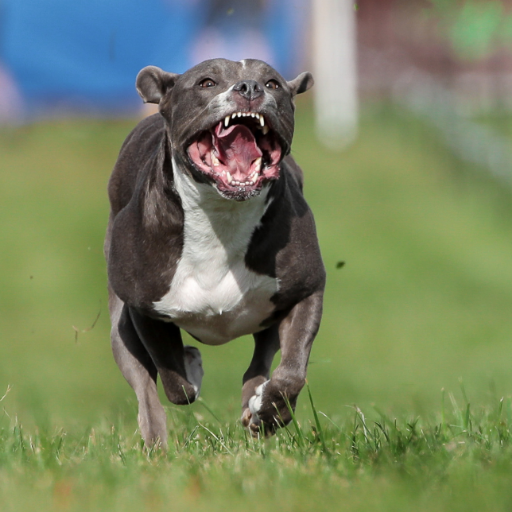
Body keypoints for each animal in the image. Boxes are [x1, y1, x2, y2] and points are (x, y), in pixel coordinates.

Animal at [105, 58, 326, 446]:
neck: (223, 213)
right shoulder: (144, 308)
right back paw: (157, 442)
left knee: (262, 358)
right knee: (146, 388)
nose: (250, 88)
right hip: (120, 326)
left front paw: (268, 412)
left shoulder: (305, 290)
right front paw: (190, 366)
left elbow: (292, 373)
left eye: (273, 82)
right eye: (206, 82)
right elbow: (174, 380)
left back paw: (254, 402)